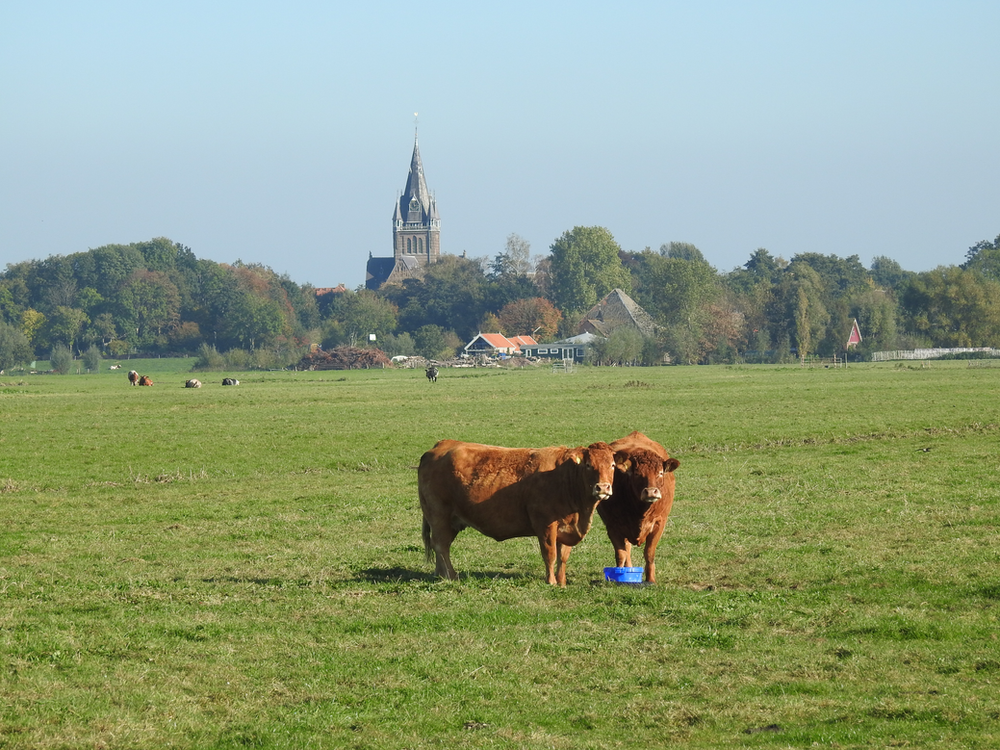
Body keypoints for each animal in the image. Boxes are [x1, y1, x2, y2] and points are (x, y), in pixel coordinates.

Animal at [412, 440, 616, 588]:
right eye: (588, 465)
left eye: (613, 465)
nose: (603, 487)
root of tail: (440, 446)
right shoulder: (545, 524)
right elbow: (550, 554)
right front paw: (551, 582)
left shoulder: (566, 528)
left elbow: (563, 557)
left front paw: (562, 582)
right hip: (439, 516)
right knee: (441, 545)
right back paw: (451, 575)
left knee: (440, 546)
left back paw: (441, 575)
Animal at [596, 432, 684, 584]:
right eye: (637, 474)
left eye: (660, 473)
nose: (651, 491)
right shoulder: (612, 526)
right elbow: (621, 554)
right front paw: (619, 577)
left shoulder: (659, 523)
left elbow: (649, 553)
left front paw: (651, 579)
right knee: (627, 550)